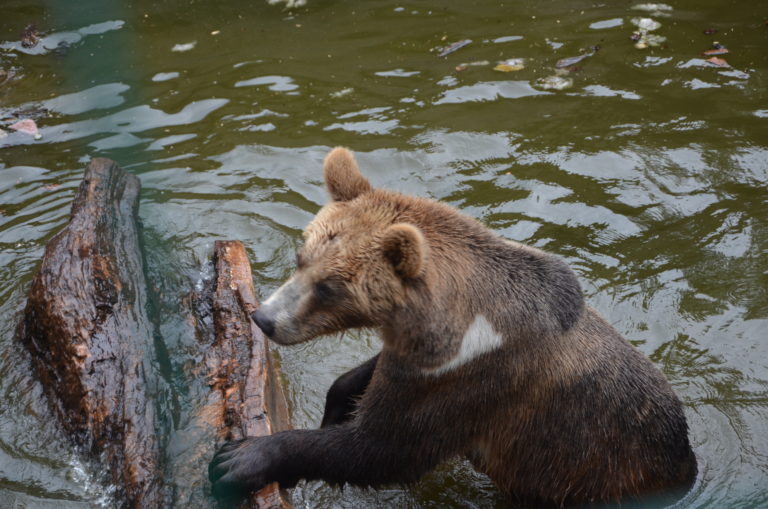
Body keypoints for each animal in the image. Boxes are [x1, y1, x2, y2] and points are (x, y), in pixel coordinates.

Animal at [208, 146, 696, 504]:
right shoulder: (423, 359)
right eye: (301, 258)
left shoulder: (476, 383)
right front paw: (338, 403)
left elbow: (381, 450)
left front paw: (239, 458)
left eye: (329, 286)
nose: (265, 318)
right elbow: (368, 382)